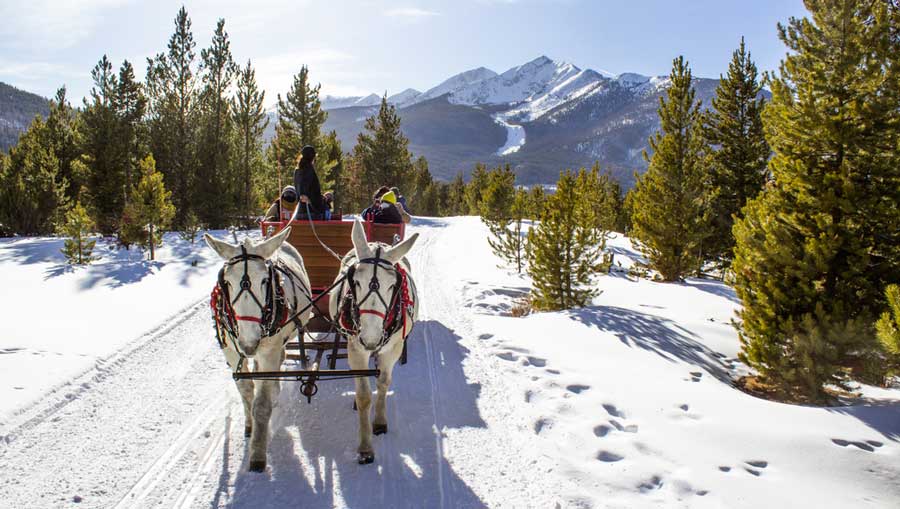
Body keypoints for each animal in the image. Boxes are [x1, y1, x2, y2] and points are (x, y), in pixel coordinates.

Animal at [205, 226, 313, 472]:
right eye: (227, 282)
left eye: (265, 280)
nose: (249, 342)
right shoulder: (231, 350)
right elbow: (246, 390)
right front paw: (249, 426)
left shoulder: (269, 351)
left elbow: (262, 404)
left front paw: (257, 453)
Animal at [329, 220, 420, 464]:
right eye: (355, 282)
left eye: (392, 285)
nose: (370, 338)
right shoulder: (356, 348)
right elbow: (363, 396)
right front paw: (365, 447)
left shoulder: (393, 348)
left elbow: (383, 383)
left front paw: (379, 421)